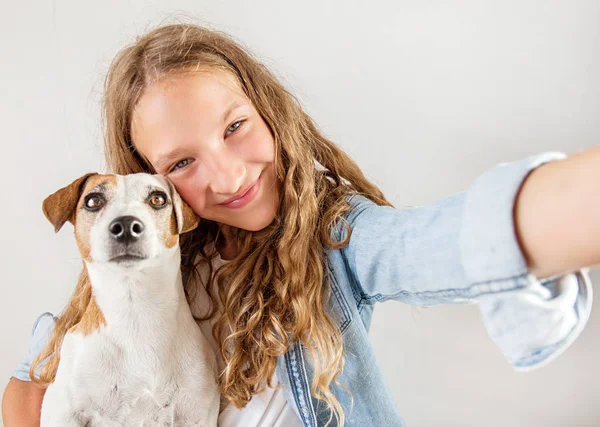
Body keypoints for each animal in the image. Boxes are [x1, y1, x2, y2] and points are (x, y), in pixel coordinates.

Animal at [38, 174, 220, 427]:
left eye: (158, 199)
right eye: (93, 201)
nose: (125, 226)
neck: (135, 310)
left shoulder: (196, 413)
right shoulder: (64, 410)